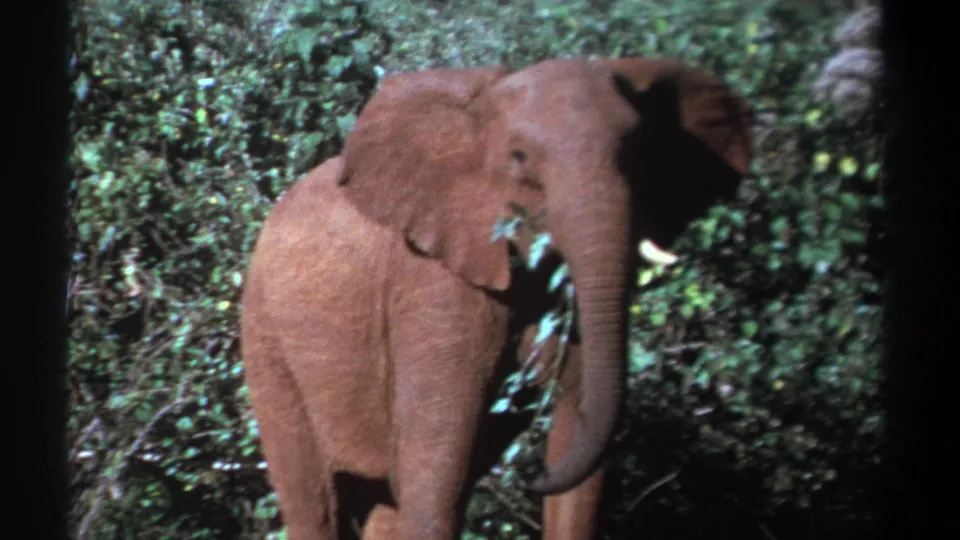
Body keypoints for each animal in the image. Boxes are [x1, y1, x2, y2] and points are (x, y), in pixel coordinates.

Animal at [240, 56, 754, 540]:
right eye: (520, 157)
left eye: (637, 154)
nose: (533, 479)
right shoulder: (434, 280)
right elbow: (436, 475)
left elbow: (581, 451)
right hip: (266, 339)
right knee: (316, 501)